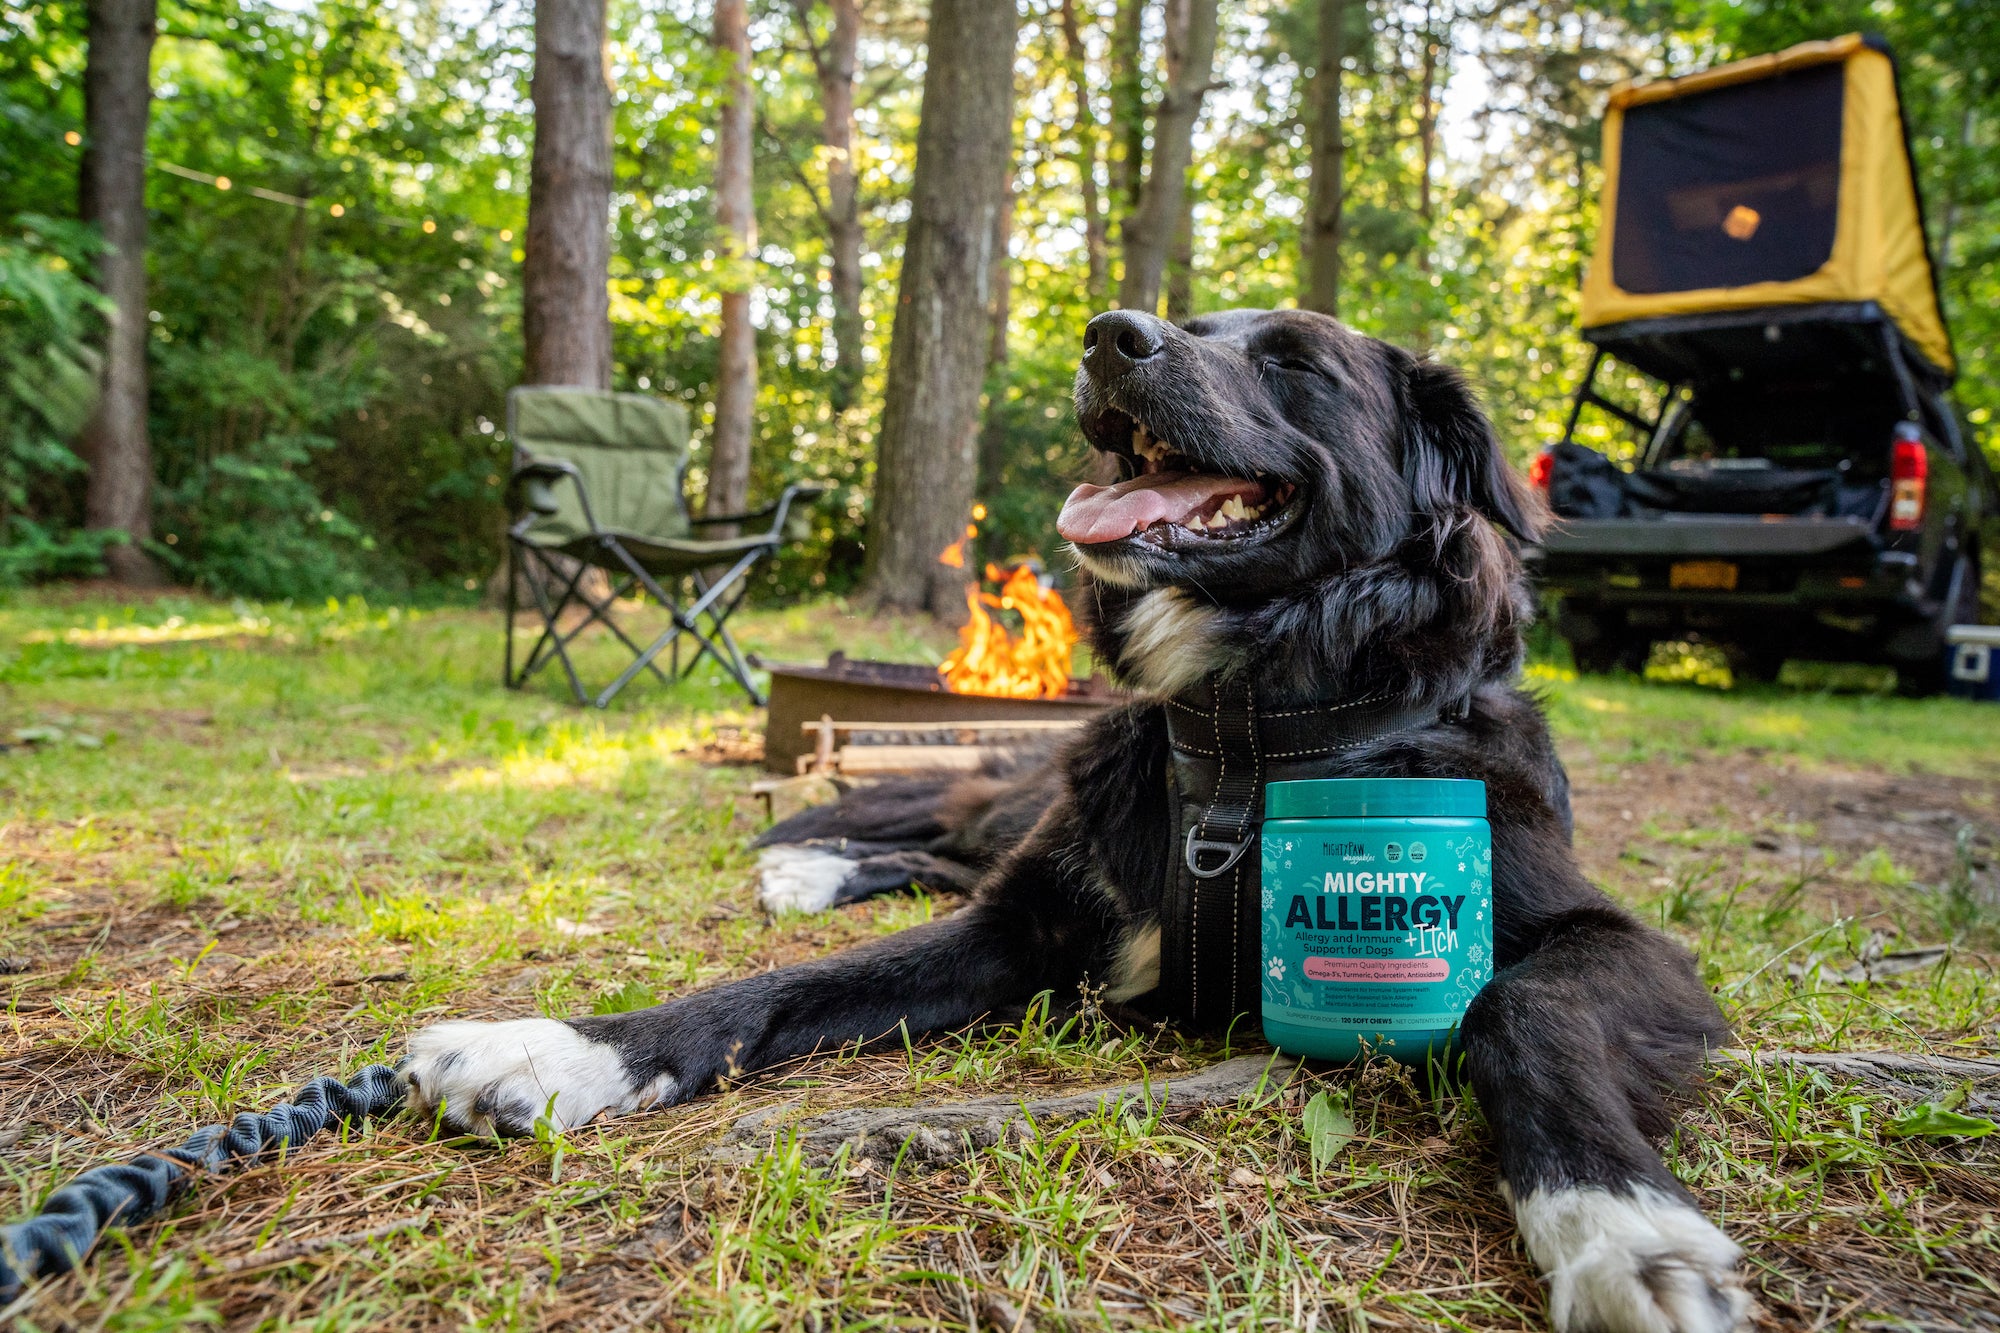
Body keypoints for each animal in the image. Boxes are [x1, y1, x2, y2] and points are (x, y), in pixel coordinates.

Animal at [410, 306, 1752, 1320]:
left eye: (1293, 362)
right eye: (1190, 323)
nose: (1112, 335)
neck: (1242, 730)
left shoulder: (1611, 936)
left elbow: (1520, 1009)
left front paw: (1617, 1231)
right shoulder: (1020, 926)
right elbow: (770, 991)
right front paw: (557, 1048)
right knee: (942, 830)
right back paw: (812, 867)